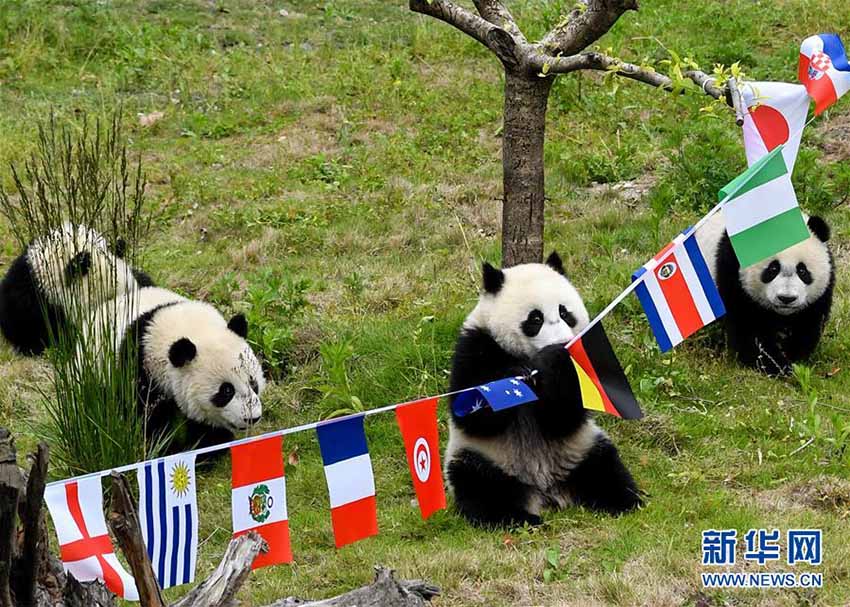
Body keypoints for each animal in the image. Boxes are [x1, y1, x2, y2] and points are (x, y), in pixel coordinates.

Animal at [88, 288, 264, 454]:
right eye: (227, 390)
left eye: (253, 383)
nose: (252, 418)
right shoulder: (137, 369)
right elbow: (146, 416)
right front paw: (167, 448)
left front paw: (213, 444)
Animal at [448, 252, 640, 528]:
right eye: (535, 319)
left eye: (565, 312)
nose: (561, 341)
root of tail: (545, 490)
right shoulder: (475, 347)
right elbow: (473, 413)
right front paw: (514, 377)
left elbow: (562, 416)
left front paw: (555, 361)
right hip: (484, 456)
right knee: (480, 486)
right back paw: (517, 518)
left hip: (581, 448)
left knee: (605, 469)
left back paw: (624, 501)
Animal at [696, 213, 836, 376]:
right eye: (773, 269)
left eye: (802, 270)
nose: (786, 298)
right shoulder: (733, 273)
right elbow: (749, 327)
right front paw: (777, 365)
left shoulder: (822, 289)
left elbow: (809, 322)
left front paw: (794, 357)